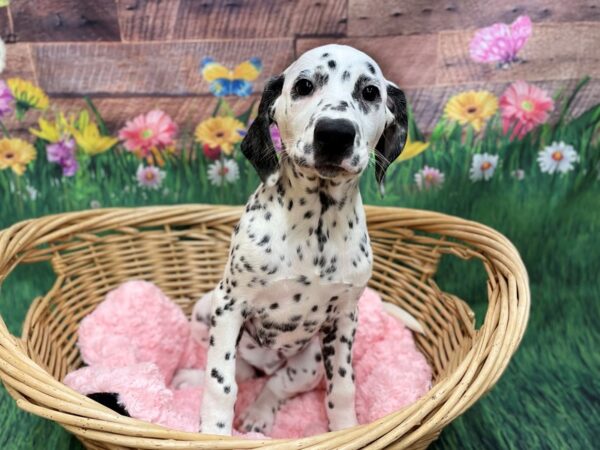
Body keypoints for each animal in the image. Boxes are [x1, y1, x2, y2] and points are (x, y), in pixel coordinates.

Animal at [192, 44, 408, 434]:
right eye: (304, 85)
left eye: (370, 92)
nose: (335, 133)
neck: (315, 227)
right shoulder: (229, 304)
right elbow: (220, 383)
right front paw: (214, 432)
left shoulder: (344, 318)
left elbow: (343, 387)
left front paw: (345, 429)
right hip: (205, 309)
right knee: (237, 372)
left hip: (308, 365)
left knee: (275, 385)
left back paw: (259, 416)